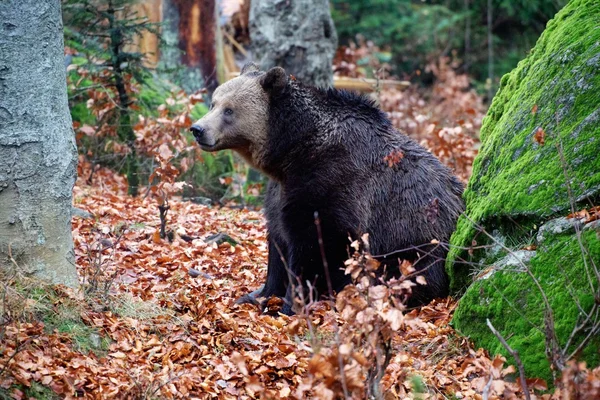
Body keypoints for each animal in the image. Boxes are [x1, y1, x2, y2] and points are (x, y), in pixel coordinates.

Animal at [192, 62, 464, 314]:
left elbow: (316, 243)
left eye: (229, 110)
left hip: (415, 241)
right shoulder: (280, 190)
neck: (292, 150)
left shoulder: (332, 179)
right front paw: (257, 295)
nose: (197, 129)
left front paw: (290, 305)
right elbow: (278, 241)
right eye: (213, 103)